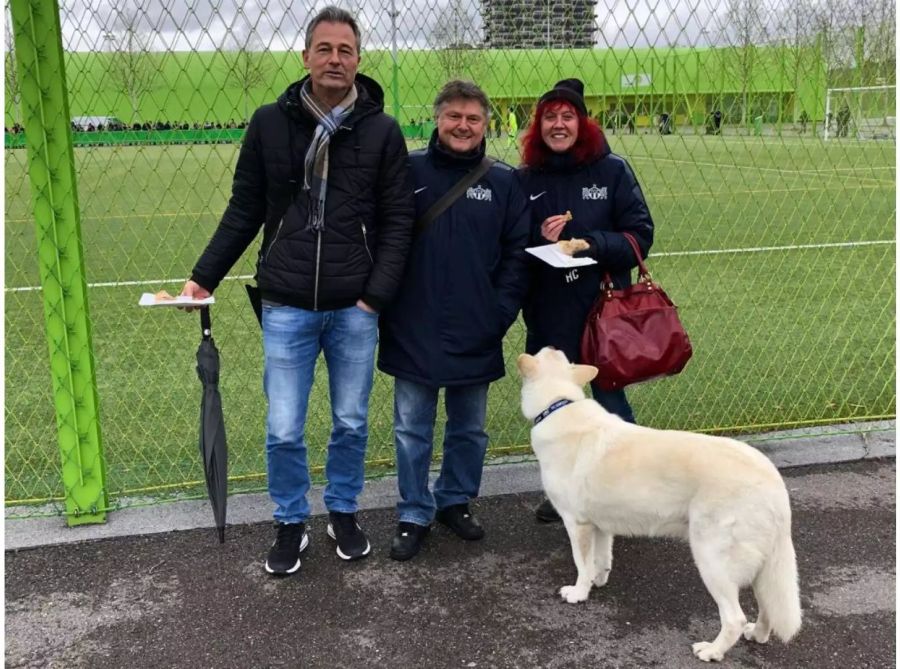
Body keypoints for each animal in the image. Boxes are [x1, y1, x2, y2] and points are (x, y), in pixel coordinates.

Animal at [516, 348, 804, 660]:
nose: (550, 346)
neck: (558, 404)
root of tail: (773, 480)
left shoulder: (577, 524)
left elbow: (582, 564)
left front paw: (579, 593)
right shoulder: (601, 526)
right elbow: (601, 561)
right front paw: (597, 582)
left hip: (711, 560)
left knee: (734, 619)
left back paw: (712, 651)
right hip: (762, 568)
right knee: (767, 608)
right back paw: (758, 635)